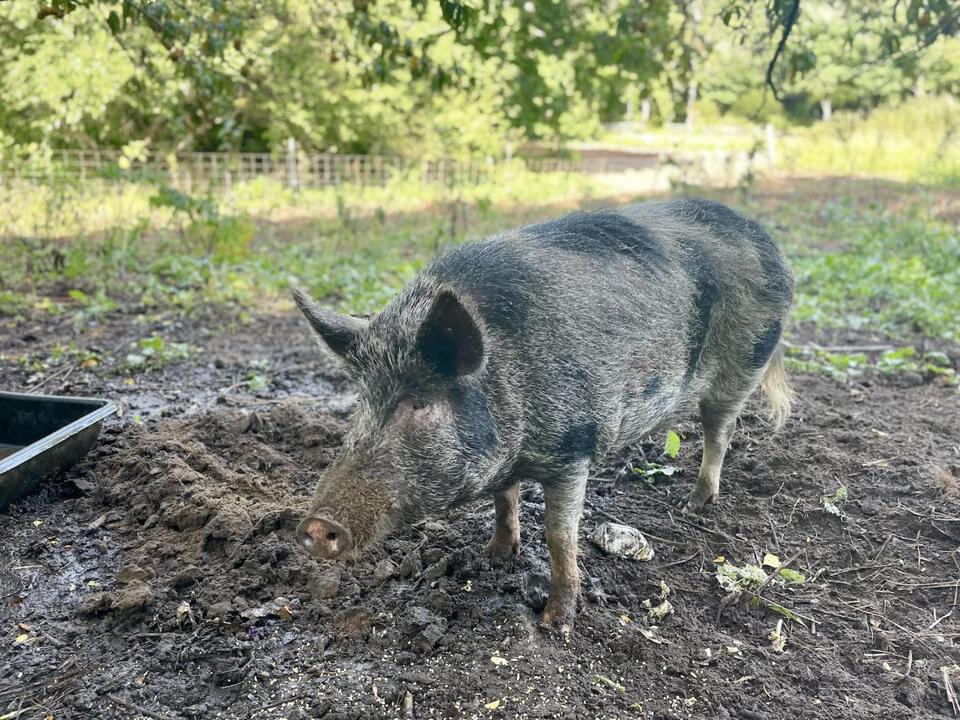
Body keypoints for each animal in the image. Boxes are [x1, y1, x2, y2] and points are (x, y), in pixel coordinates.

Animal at [293, 198, 794, 633]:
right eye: (364, 399)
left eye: (420, 402)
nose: (317, 526)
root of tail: (765, 240)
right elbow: (504, 501)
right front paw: (495, 555)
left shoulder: (574, 449)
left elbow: (559, 537)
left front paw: (556, 623)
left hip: (743, 365)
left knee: (721, 430)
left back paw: (694, 504)